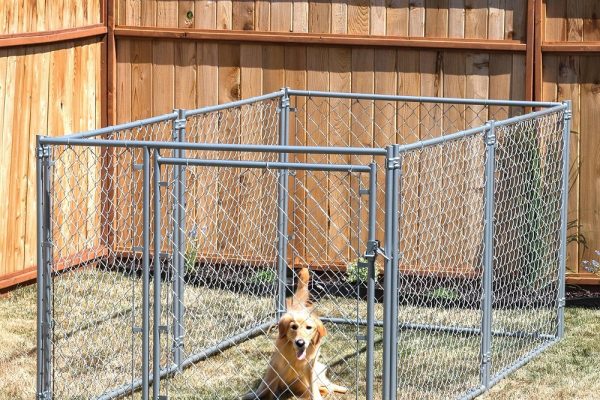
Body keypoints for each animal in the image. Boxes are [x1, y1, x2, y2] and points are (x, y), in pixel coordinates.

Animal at [241, 268, 350, 398]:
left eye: (309, 328)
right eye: (294, 327)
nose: (300, 343)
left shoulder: (311, 367)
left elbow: (314, 388)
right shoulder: (274, 364)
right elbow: (265, 386)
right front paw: (254, 395)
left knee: (328, 386)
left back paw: (342, 389)